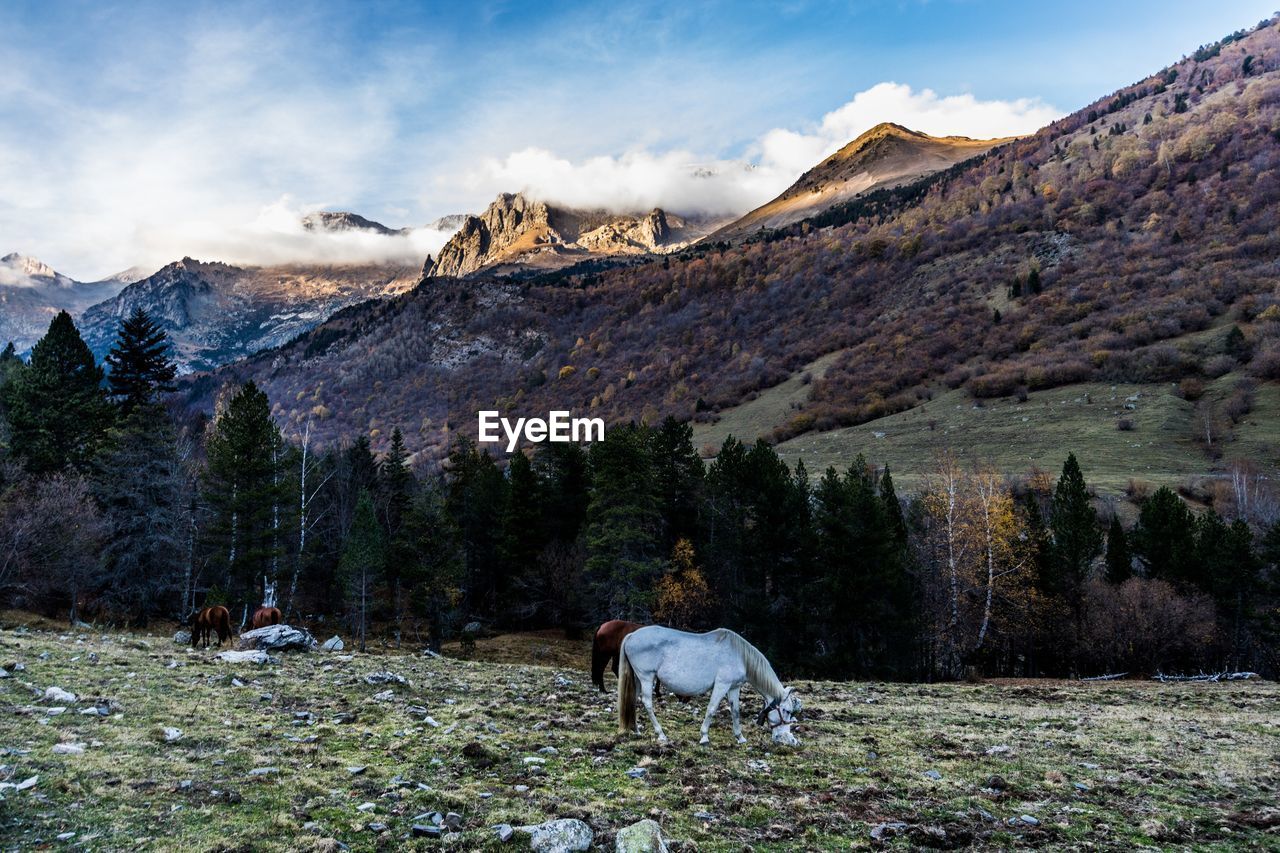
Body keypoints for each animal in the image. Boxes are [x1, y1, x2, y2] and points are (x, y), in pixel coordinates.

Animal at [616, 625, 803, 742]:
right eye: (786, 711)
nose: (783, 737)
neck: (740, 655)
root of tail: (631, 636)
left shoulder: (734, 687)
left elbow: (735, 711)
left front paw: (740, 737)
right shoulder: (722, 685)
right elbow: (712, 709)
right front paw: (704, 736)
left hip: (638, 679)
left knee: (633, 700)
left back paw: (636, 730)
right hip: (646, 677)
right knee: (647, 703)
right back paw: (660, 734)